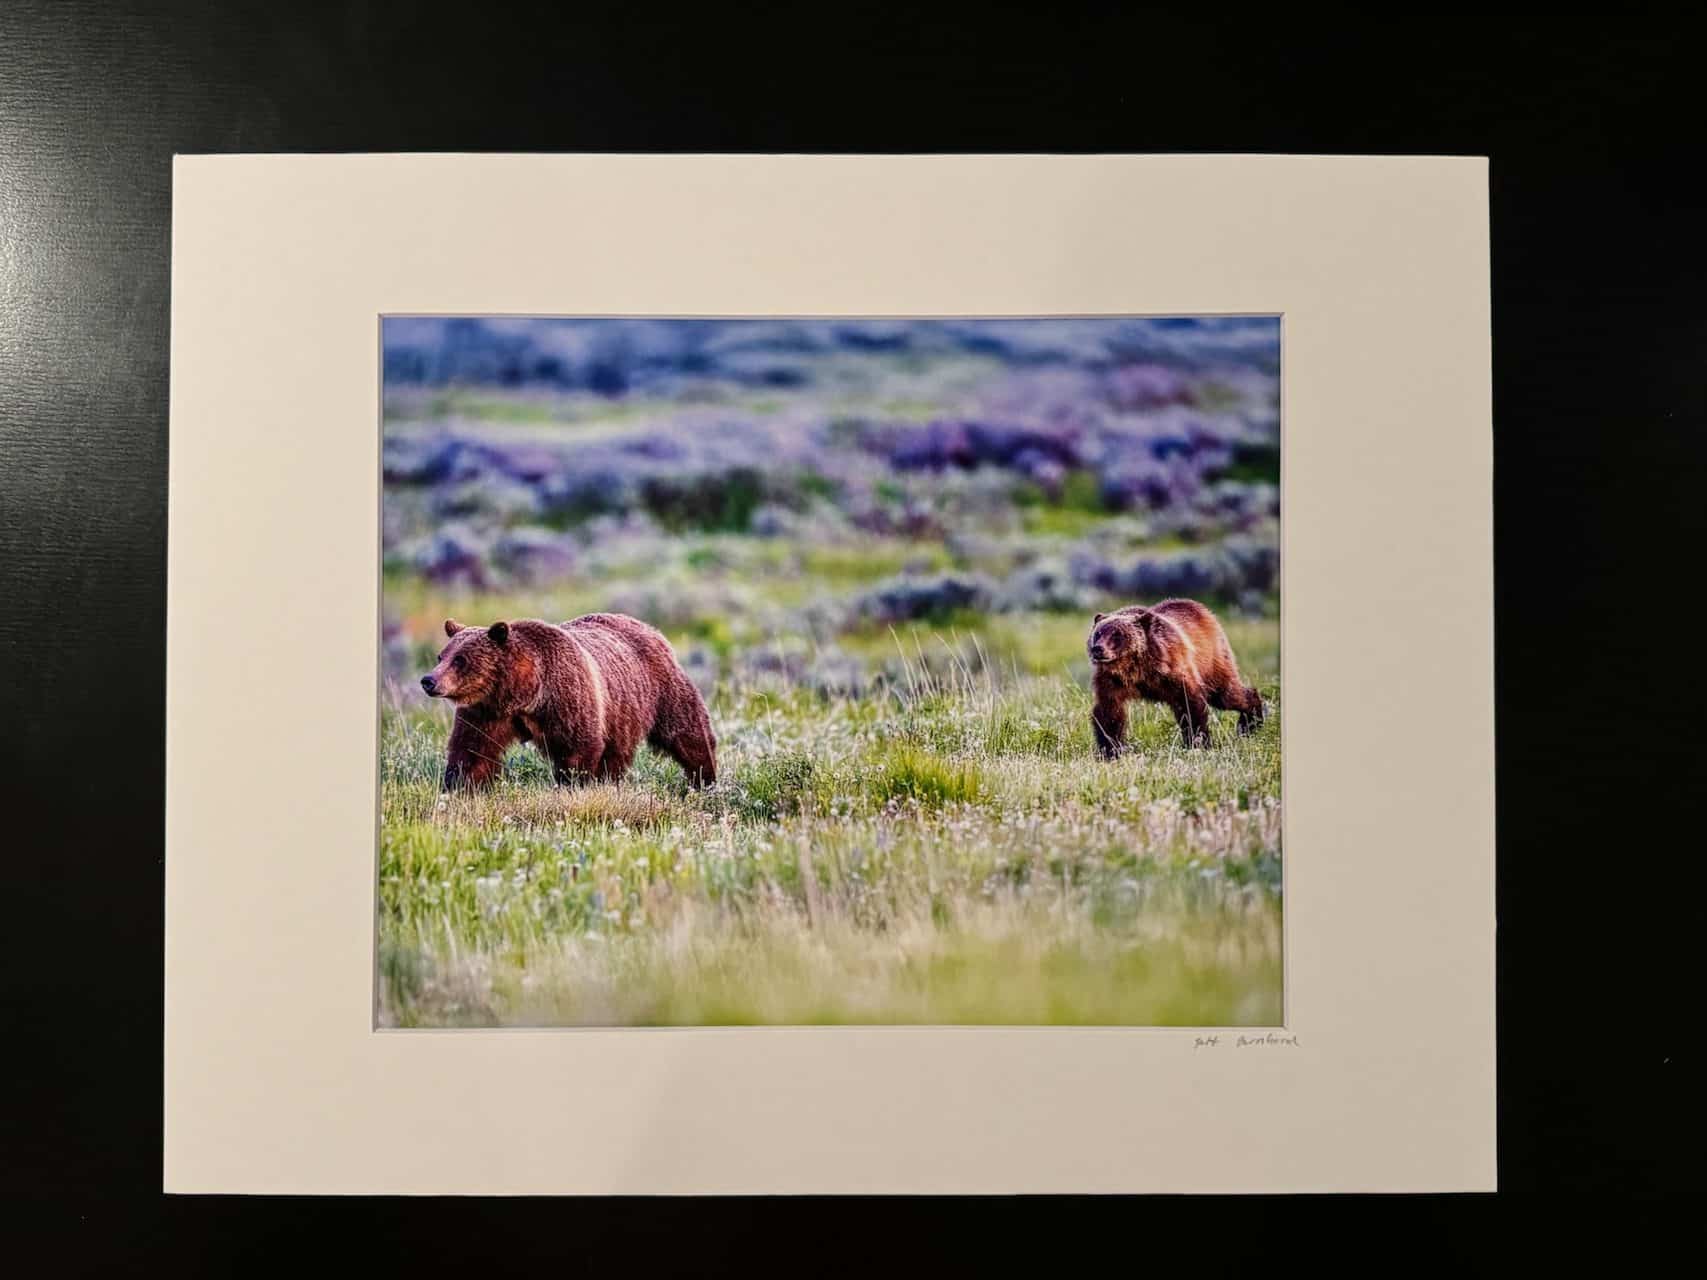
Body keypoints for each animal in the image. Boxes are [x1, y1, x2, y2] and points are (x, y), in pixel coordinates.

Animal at [418, 613, 717, 790]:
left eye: (460, 659)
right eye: (441, 655)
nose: (428, 680)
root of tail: (649, 628)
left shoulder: (566, 697)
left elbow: (577, 747)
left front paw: (572, 784)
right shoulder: (486, 712)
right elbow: (472, 751)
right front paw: (459, 786)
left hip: (660, 687)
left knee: (686, 730)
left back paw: (705, 778)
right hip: (622, 712)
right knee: (617, 753)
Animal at [1086, 598, 1264, 755]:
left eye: (1117, 635)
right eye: (1098, 633)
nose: (1098, 649)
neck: (1135, 669)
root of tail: (1205, 611)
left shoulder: (1173, 670)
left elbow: (1190, 705)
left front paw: (1198, 743)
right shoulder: (1111, 681)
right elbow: (1109, 712)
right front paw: (1111, 751)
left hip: (1213, 662)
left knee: (1226, 694)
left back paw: (1251, 721)